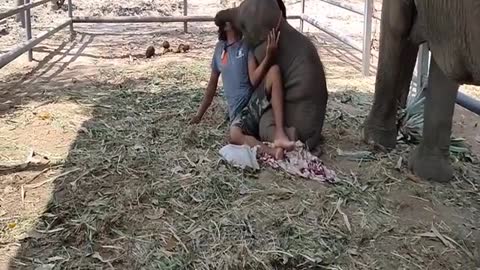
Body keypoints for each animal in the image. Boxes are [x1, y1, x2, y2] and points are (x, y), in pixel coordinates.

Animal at [216, 0, 328, 153]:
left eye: (243, 25)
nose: (217, 19)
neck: (279, 25)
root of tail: (314, 137)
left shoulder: (261, 50)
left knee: (266, 124)